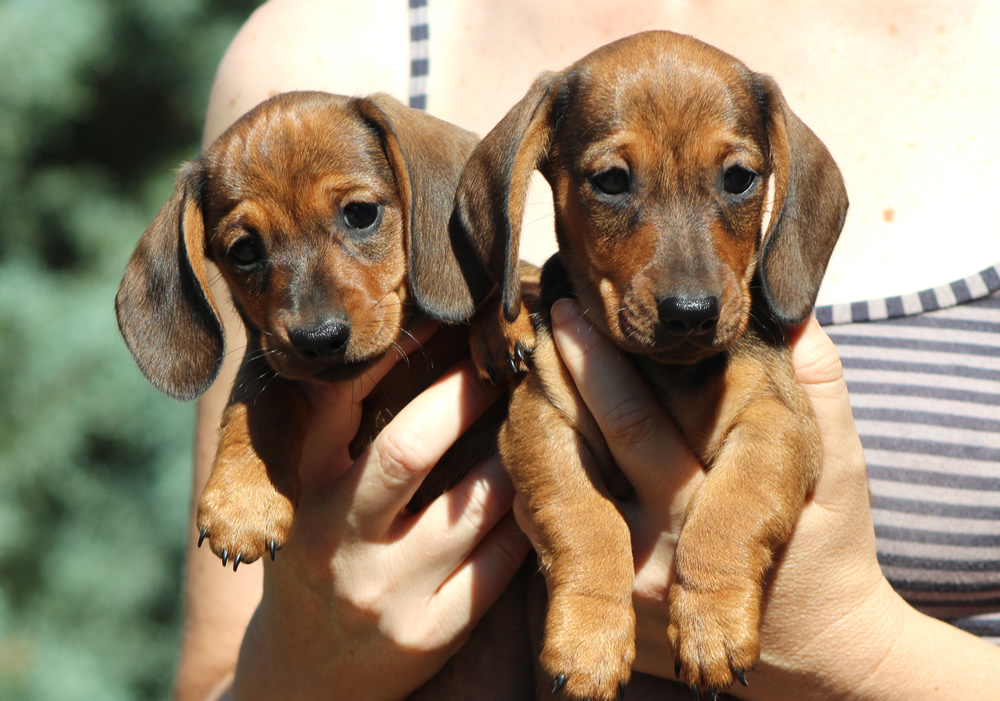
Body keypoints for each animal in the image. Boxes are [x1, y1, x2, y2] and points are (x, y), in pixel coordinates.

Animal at [456, 31, 852, 700]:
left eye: (739, 178)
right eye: (612, 181)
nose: (690, 314)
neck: (664, 372)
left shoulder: (778, 421)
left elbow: (731, 508)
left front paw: (711, 620)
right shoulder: (541, 419)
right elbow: (585, 519)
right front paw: (589, 638)